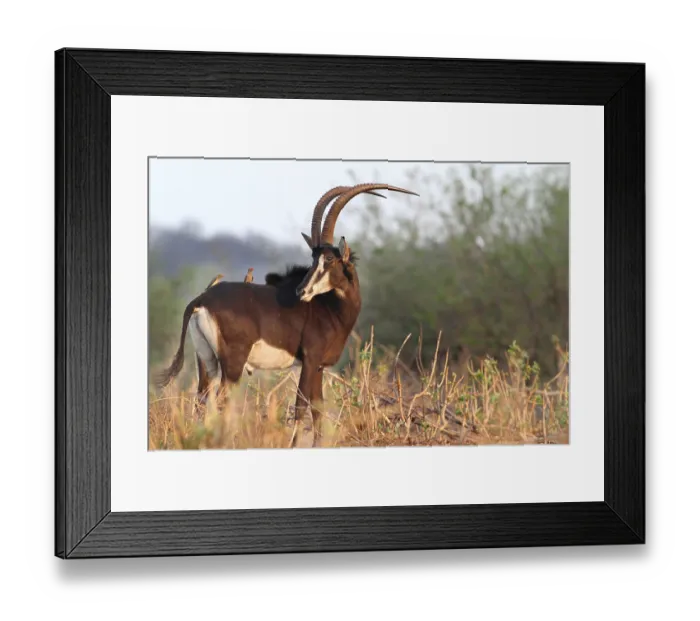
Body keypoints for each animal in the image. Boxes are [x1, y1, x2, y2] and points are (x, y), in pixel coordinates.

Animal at [156, 183, 418, 447]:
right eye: (314, 258)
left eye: (328, 258)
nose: (301, 291)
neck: (330, 308)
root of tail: (202, 299)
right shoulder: (310, 359)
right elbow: (301, 406)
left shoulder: (319, 366)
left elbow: (318, 408)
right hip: (232, 364)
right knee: (221, 401)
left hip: (206, 360)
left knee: (202, 401)